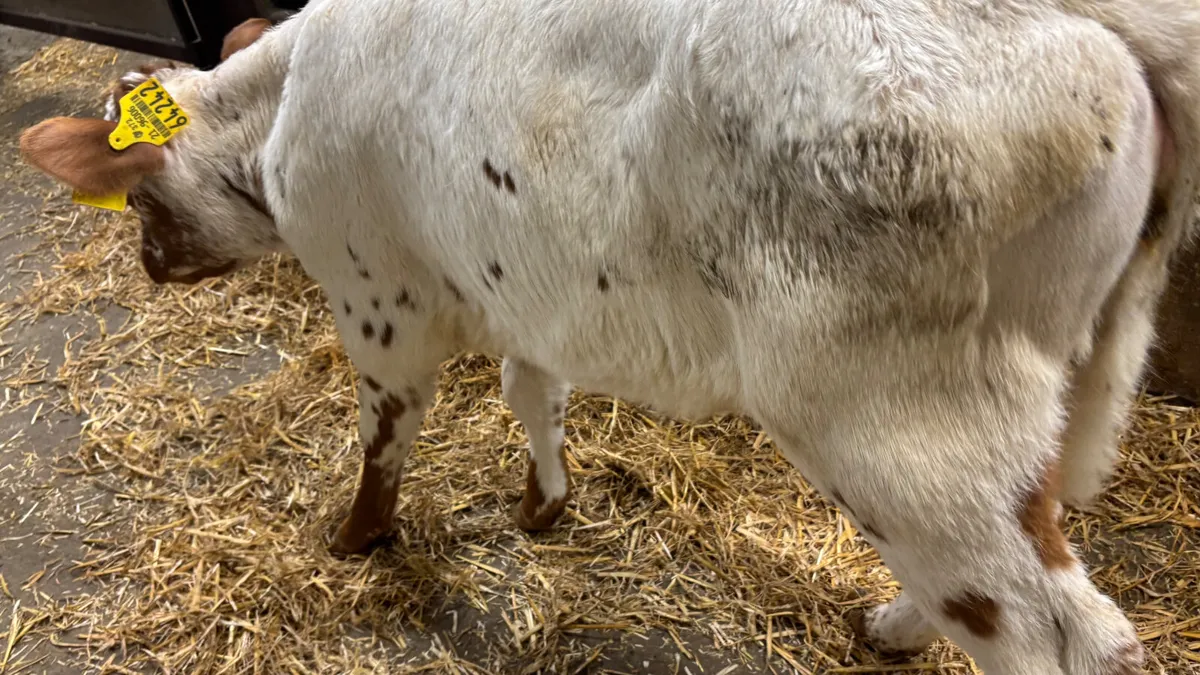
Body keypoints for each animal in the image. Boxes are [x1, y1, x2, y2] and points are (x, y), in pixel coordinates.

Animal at [18, 0, 1200, 672]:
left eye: (138, 201)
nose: (151, 265)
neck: (283, 110)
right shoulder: (523, 286)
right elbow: (531, 393)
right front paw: (543, 503)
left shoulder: (380, 299)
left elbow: (386, 433)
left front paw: (356, 538)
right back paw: (894, 626)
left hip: (905, 413)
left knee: (1058, 634)